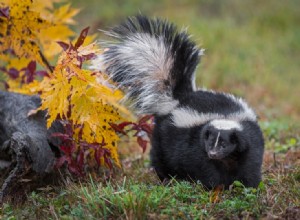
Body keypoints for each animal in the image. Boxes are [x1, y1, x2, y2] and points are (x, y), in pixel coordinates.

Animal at [90, 15, 264, 188]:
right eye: (210, 143)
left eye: (224, 144)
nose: (213, 153)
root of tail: (178, 97)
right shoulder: (196, 145)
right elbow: (205, 168)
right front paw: (215, 187)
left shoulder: (249, 142)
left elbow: (249, 165)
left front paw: (248, 186)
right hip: (163, 135)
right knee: (161, 157)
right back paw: (166, 178)